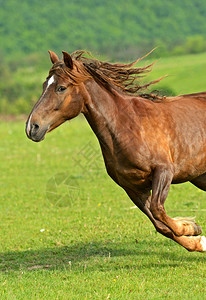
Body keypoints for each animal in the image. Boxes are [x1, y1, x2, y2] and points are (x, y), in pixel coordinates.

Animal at [25, 50, 206, 252]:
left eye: (61, 88)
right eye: (44, 85)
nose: (32, 127)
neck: (127, 126)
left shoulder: (164, 170)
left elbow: (158, 210)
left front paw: (191, 227)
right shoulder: (132, 188)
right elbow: (160, 226)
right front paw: (197, 239)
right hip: (201, 177)